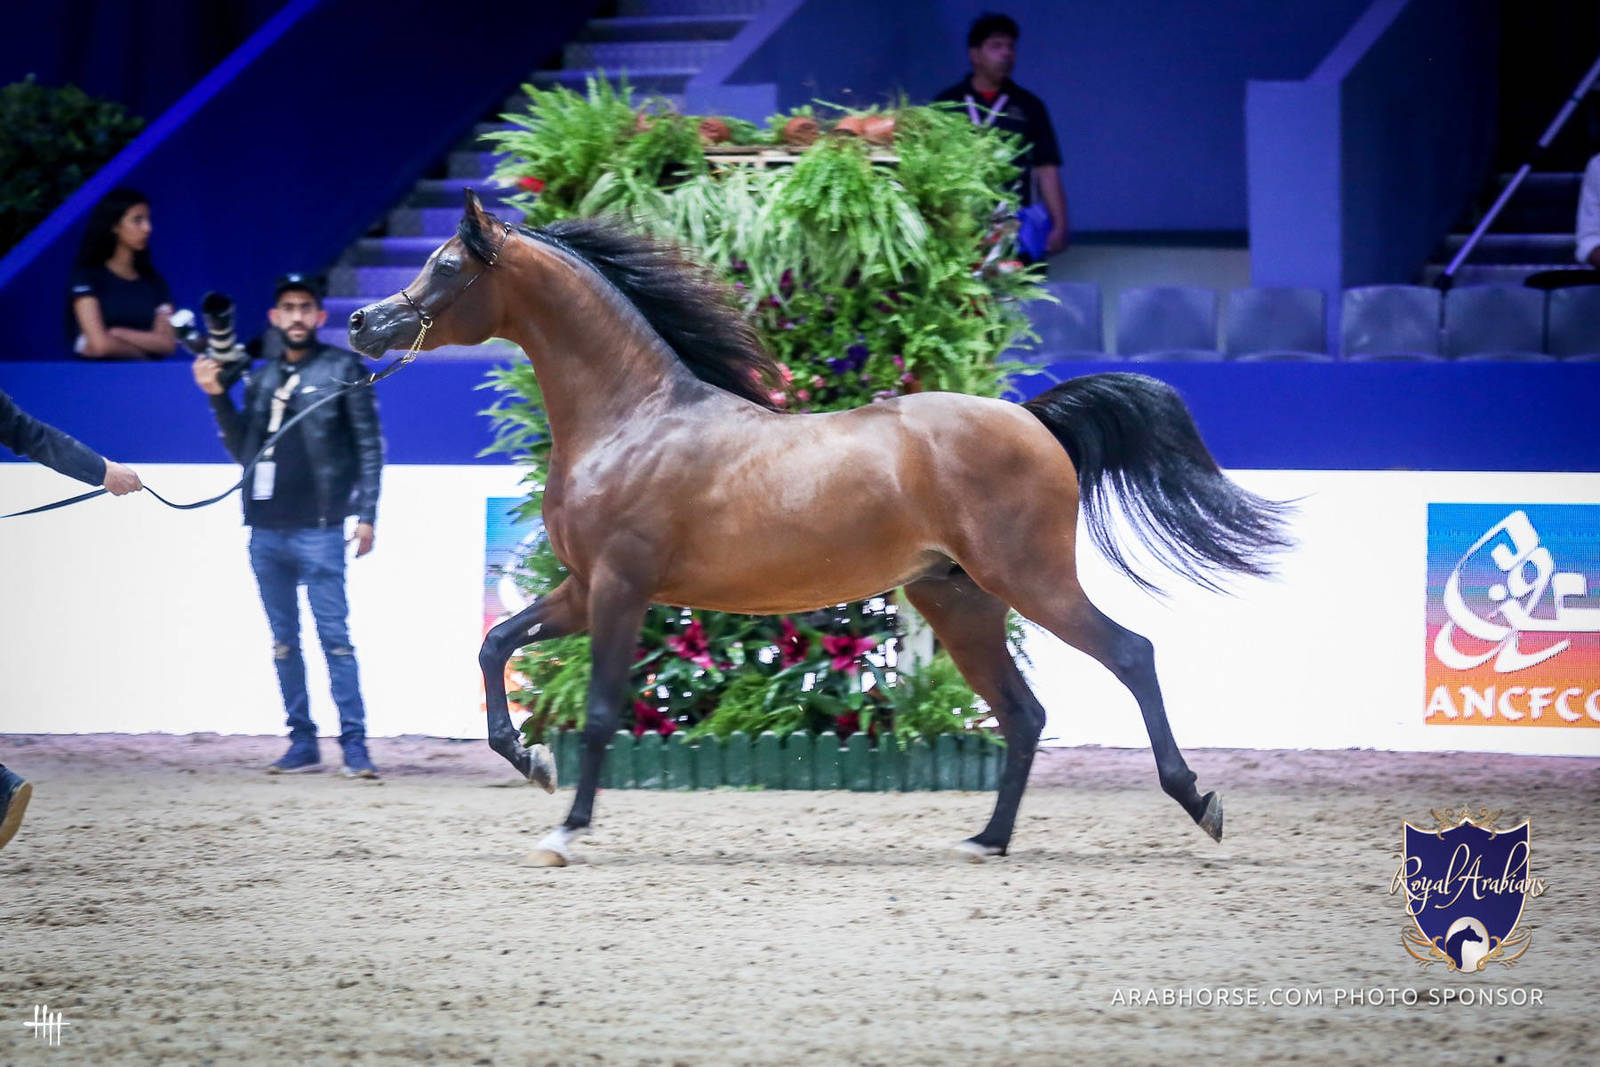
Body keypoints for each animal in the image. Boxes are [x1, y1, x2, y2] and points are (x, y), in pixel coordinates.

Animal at [348, 190, 1292, 866]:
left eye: (444, 265)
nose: (363, 323)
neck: (635, 418)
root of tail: (1033, 420)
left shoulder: (620, 587)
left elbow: (603, 709)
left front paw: (567, 830)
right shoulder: (582, 589)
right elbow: (495, 643)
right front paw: (530, 764)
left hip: (1032, 581)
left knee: (1131, 654)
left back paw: (1199, 802)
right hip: (959, 600)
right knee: (1023, 712)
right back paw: (986, 840)